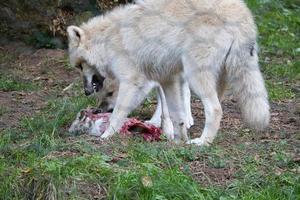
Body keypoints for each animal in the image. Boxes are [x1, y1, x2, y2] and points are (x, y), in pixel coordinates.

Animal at [67, 0, 270, 145]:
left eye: (79, 66)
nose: (86, 92)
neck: (107, 40)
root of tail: (241, 14)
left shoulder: (133, 82)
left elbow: (118, 113)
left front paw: (106, 136)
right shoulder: (167, 80)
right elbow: (173, 113)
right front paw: (176, 138)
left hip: (195, 74)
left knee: (215, 109)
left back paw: (202, 142)